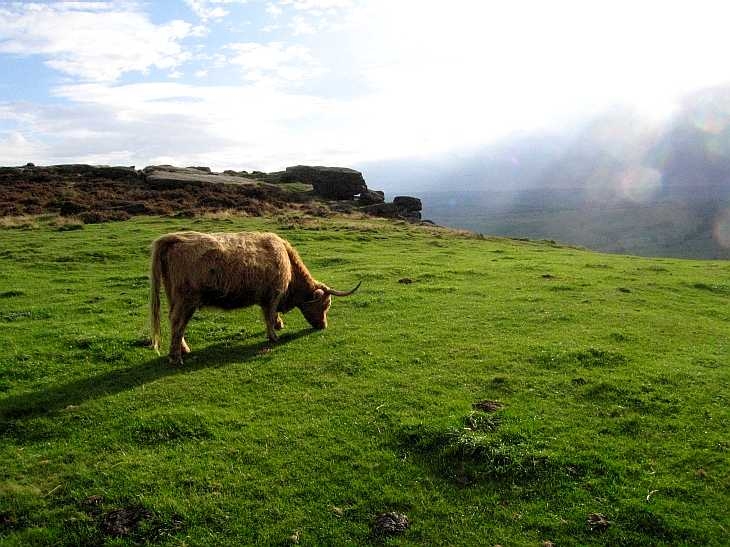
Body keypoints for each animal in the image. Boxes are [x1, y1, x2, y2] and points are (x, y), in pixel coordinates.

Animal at [149, 231, 361, 365]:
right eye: (324, 305)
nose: (323, 326)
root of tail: (175, 239)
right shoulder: (274, 294)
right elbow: (269, 314)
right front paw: (273, 336)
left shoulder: (267, 296)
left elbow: (269, 314)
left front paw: (278, 325)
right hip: (186, 300)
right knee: (178, 323)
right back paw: (176, 357)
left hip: (174, 297)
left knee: (175, 322)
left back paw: (183, 349)